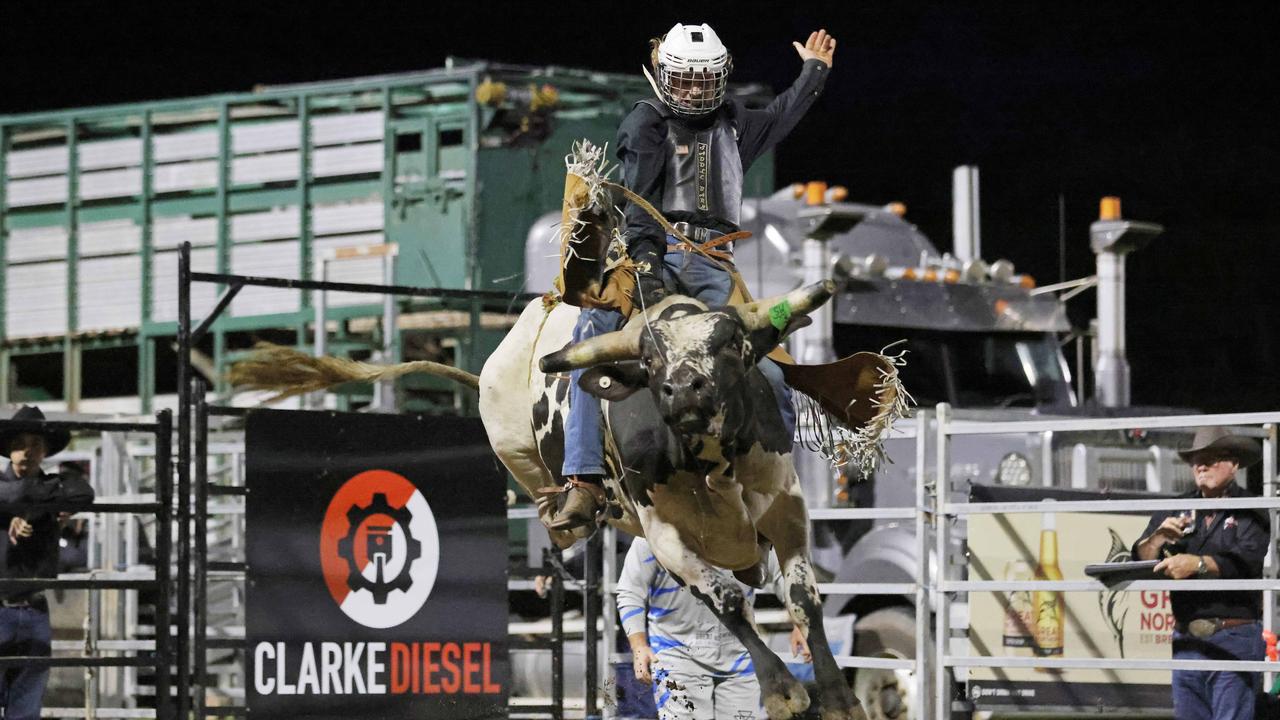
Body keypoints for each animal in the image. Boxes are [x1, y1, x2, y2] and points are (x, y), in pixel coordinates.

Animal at [232, 141, 911, 717]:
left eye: (730, 346)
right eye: (651, 360)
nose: (682, 390)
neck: (709, 459)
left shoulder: (785, 504)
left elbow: (803, 598)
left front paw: (836, 696)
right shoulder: (664, 536)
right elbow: (724, 598)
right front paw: (781, 690)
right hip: (517, 450)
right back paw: (567, 513)